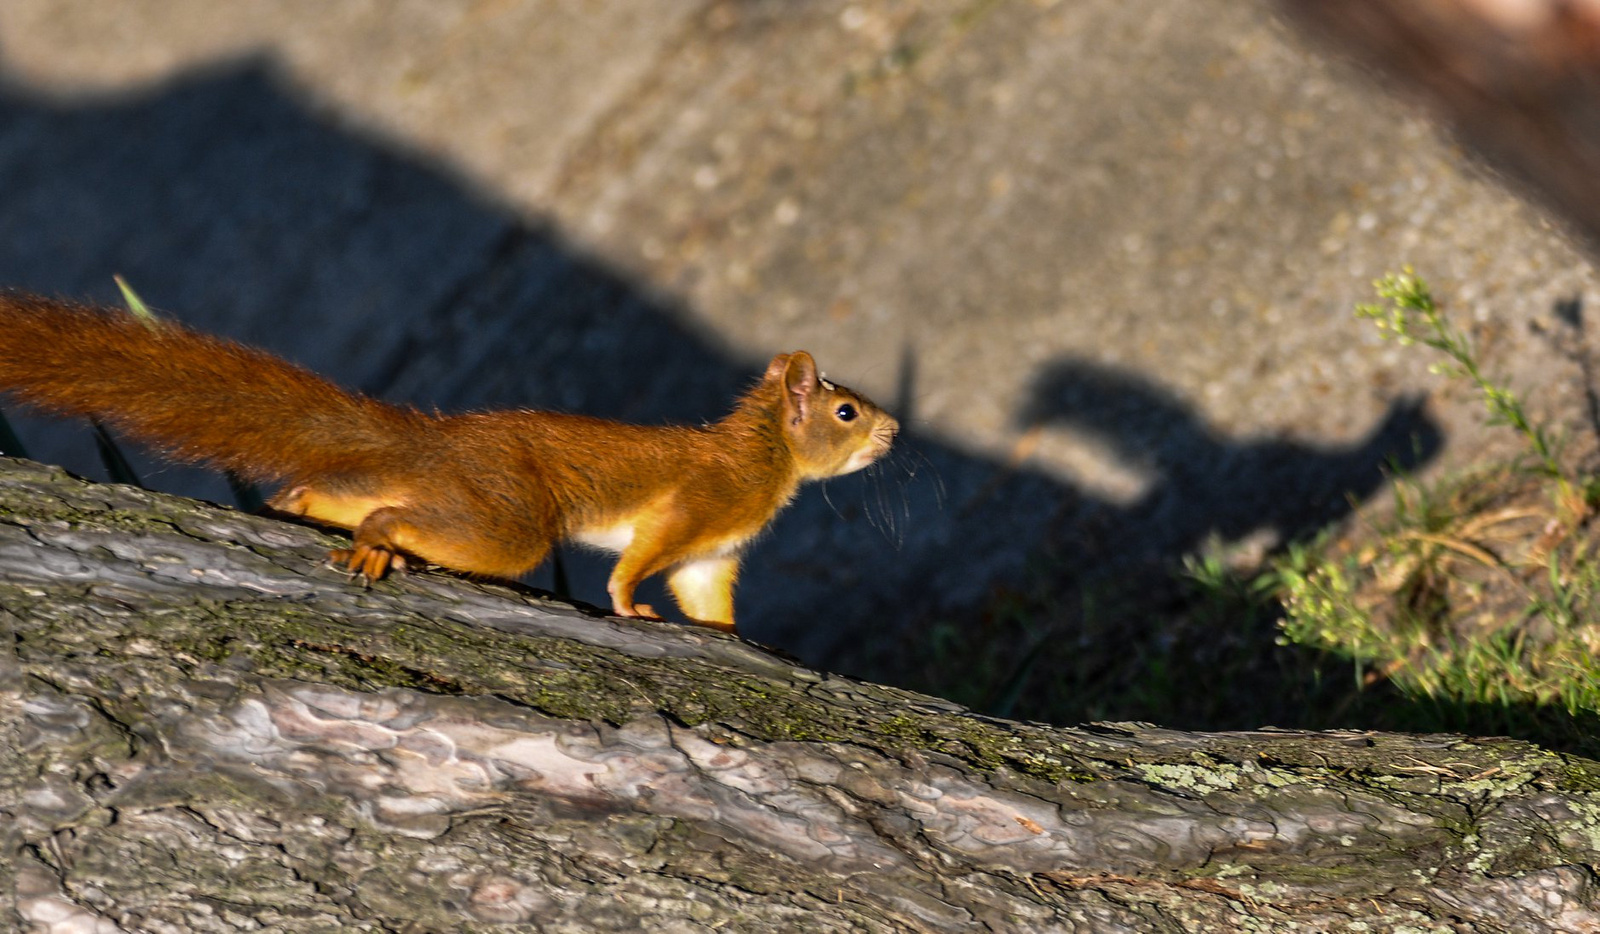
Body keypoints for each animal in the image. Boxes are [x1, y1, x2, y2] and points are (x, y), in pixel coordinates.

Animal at [0, 295, 902, 630]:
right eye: (847, 411)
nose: (894, 432)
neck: (767, 465)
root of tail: (437, 440)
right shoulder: (700, 502)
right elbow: (640, 563)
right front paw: (630, 608)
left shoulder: (716, 553)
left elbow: (708, 599)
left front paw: (730, 635)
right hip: (507, 521)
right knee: (392, 516)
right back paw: (373, 545)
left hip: (439, 491)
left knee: (328, 492)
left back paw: (300, 507)